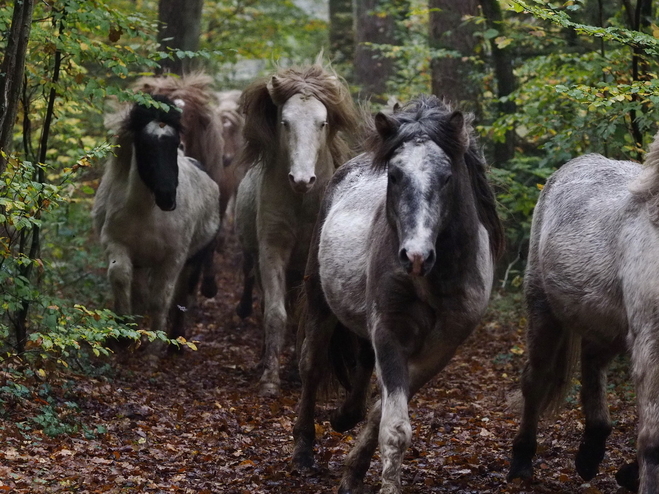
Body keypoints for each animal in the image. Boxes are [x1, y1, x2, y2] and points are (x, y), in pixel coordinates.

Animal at [93, 95, 222, 344]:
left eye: (175, 144)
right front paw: (124, 332)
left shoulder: (174, 257)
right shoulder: (115, 243)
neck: (146, 212)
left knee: (184, 292)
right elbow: (120, 276)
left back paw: (176, 339)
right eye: (145, 145)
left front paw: (156, 342)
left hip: (194, 258)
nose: (167, 196)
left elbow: (161, 299)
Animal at [236, 63, 360, 398]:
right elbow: (275, 314)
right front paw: (270, 379)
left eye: (322, 122)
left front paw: (295, 369)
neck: (302, 203)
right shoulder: (272, 251)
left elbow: (304, 317)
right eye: (285, 122)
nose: (302, 179)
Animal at [292, 94, 502, 492]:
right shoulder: (388, 329)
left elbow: (381, 412)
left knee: (360, 366)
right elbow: (394, 427)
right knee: (311, 366)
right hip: (319, 304)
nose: (416, 256)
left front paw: (353, 471)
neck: (432, 282)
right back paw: (303, 450)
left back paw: (344, 417)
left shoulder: (443, 346)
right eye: (394, 175)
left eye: (447, 177)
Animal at [508, 132, 659, 494]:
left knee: (591, 365)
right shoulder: (649, 341)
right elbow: (652, 439)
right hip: (544, 312)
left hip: (606, 325)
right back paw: (521, 460)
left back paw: (591, 453)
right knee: (534, 380)